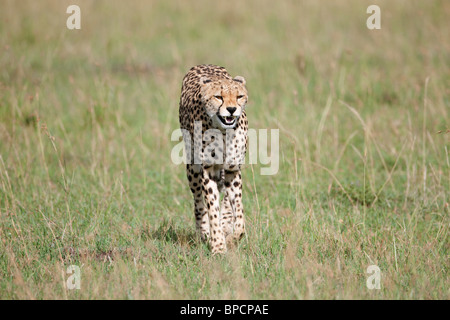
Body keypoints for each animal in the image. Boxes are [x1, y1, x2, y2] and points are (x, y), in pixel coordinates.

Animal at [178, 65, 248, 254]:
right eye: (218, 97)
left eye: (239, 96)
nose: (231, 109)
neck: (223, 132)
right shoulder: (207, 171)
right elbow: (212, 210)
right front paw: (218, 246)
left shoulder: (233, 169)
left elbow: (238, 211)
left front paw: (232, 237)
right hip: (193, 169)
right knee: (198, 203)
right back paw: (204, 232)